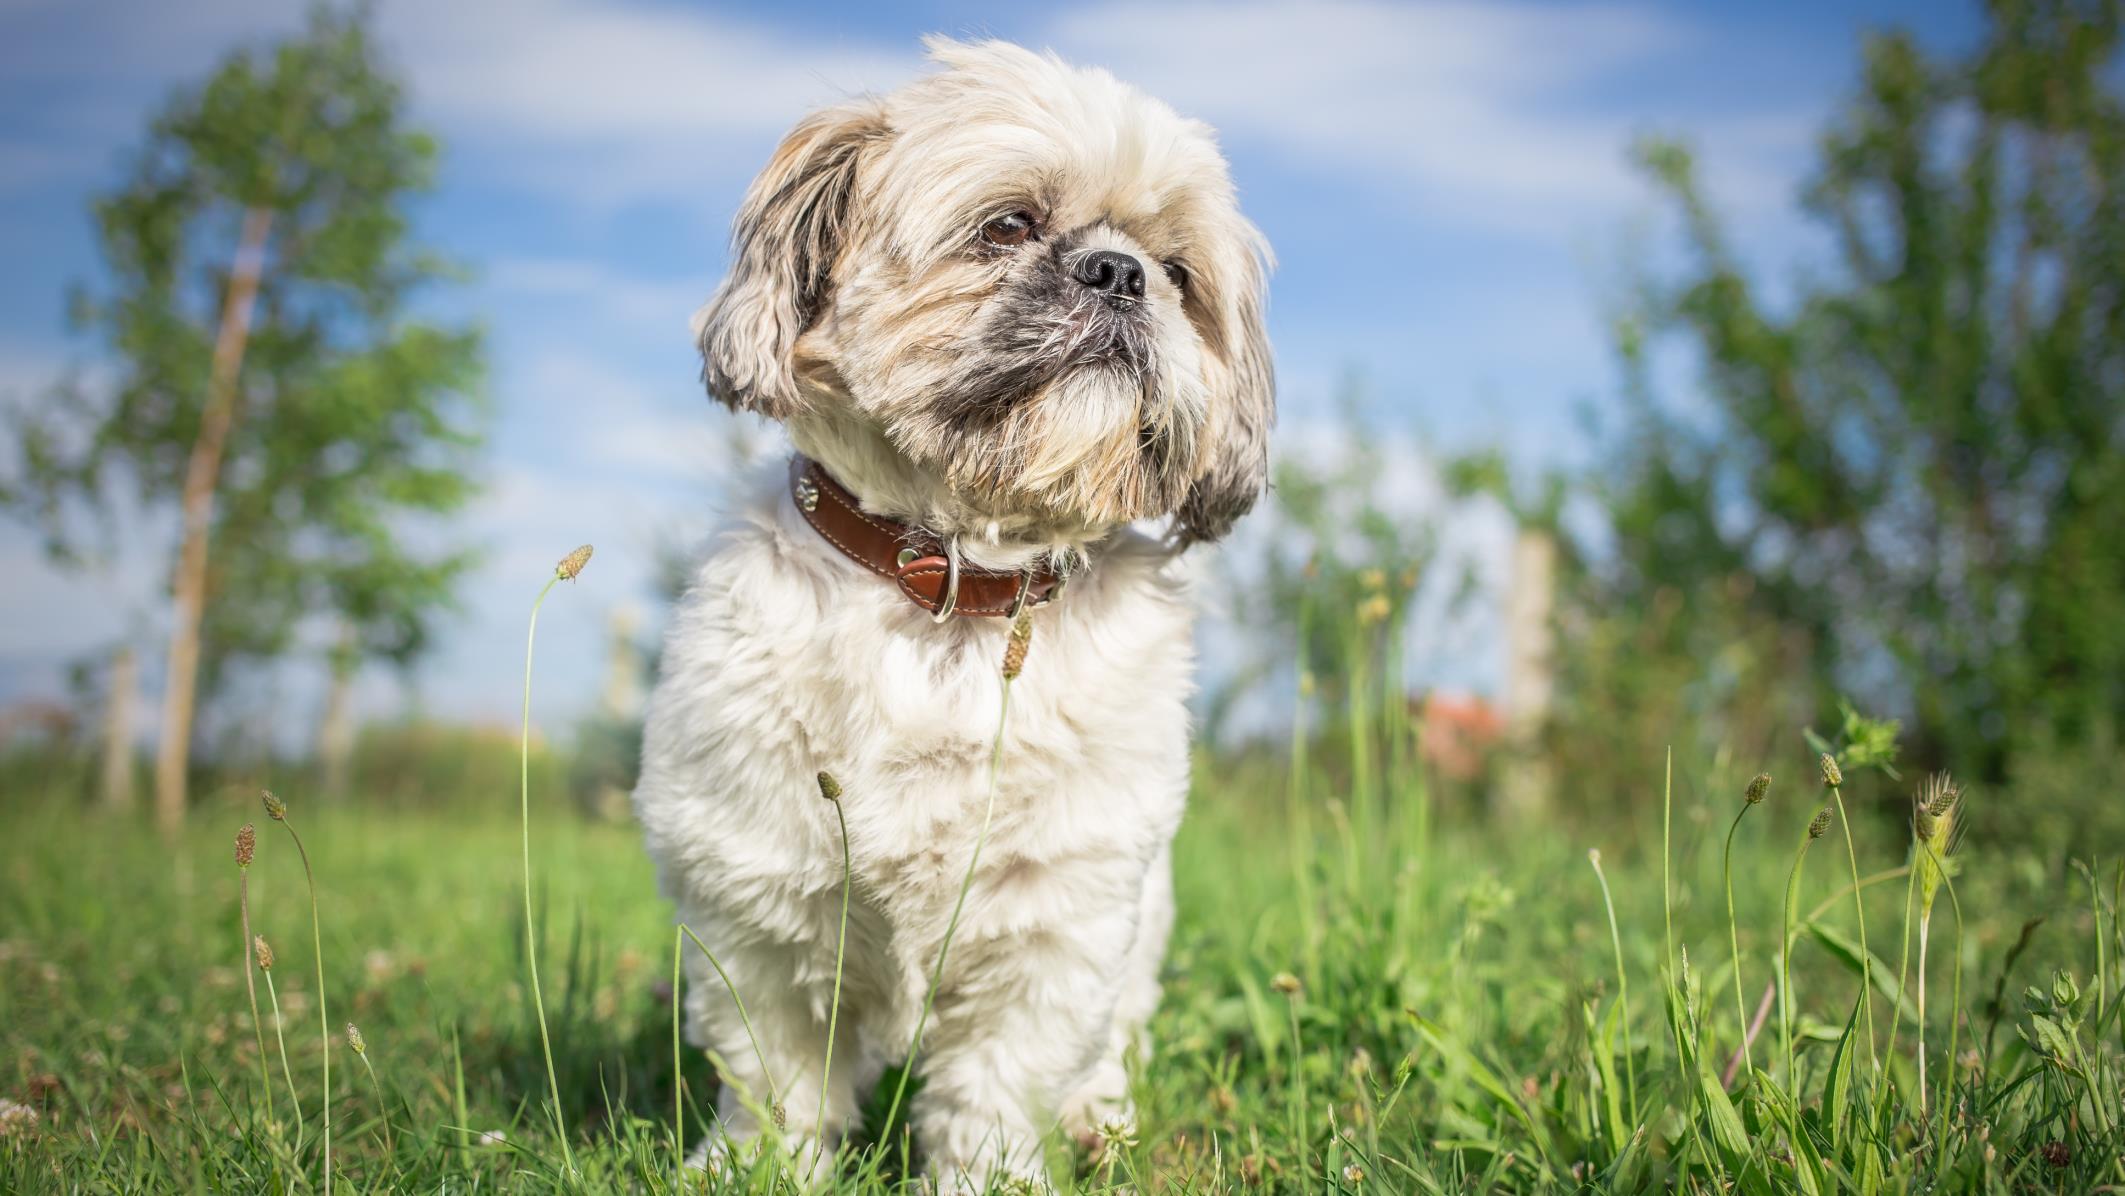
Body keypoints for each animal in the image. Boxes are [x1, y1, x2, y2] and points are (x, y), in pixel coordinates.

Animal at [624, 35, 1258, 1189]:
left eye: (1181, 274)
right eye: (1006, 225)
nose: (1120, 272)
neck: (956, 585)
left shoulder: (1055, 918)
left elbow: (995, 1089)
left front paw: (991, 1173)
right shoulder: (762, 904)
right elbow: (776, 1078)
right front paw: (756, 1168)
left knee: (1111, 1046)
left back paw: (1101, 1120)